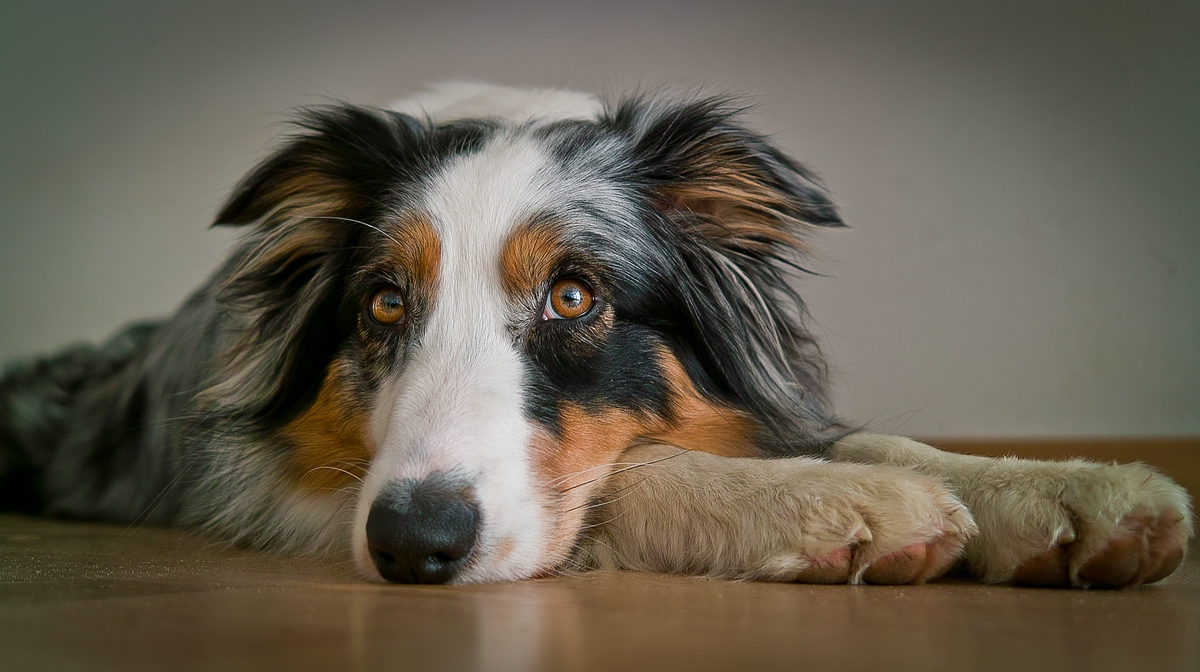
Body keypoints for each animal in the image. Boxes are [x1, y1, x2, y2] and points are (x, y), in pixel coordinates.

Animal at [0, 82, 1190, 588]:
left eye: (572, 299)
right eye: (383, 305)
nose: (411, 547)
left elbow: (871, 436)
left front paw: (1067, 491)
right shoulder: (307, 482)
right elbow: (635, 473)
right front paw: (840, 505)